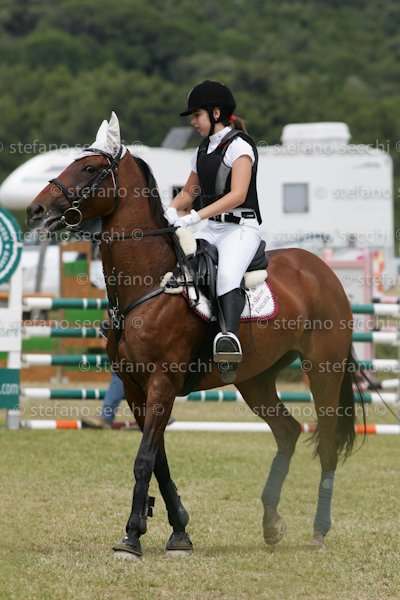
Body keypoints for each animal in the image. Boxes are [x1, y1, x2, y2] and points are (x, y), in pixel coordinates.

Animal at [27, 112, 365, 558]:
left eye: (89, 168)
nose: (35, 210)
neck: (147, 283)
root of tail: (321, 270)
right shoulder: (135, 388)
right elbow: (158, 460)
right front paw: (178, 532)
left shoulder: (162, 383)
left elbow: (144, 459)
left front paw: (131, 537)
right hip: (255, 378)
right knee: (288, 431)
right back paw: (271, 523)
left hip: (322, 368)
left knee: (325, 440)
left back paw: (319, 530)